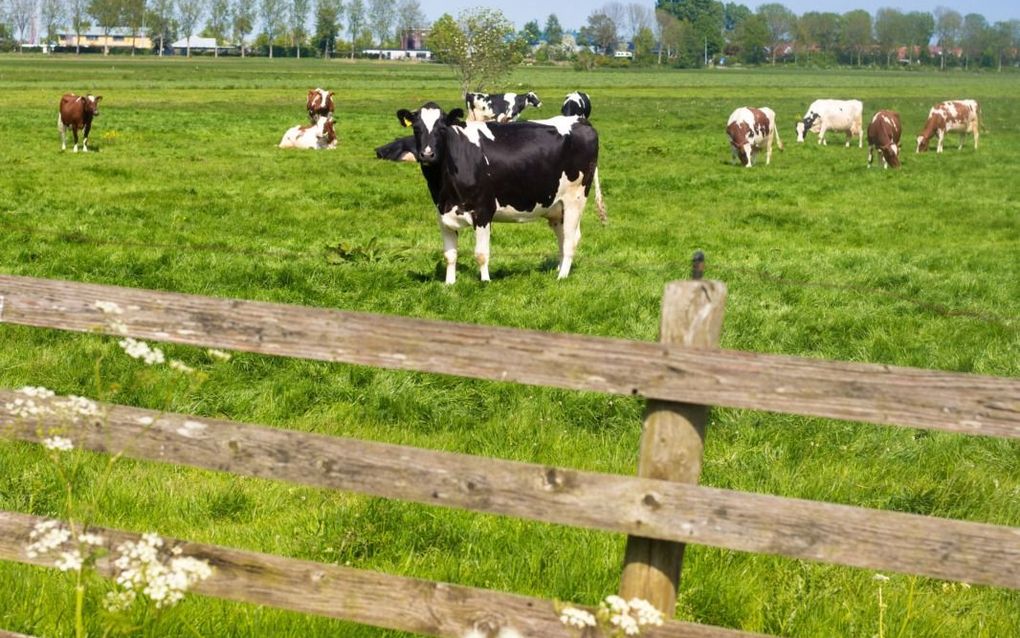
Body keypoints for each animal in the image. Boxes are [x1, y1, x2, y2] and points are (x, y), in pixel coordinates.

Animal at [395, 102, 603, 283]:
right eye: (416, 129)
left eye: (442, 129)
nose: (427, 155)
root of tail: (580, 120)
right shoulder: (443, 214)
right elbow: (450, 254)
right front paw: (449, 284)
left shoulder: (483, 210)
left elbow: (481, 254)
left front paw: (485, 282)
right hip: (556, 207)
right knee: (563, 237)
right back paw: (558, 269)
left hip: (575, 199)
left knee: (570, 240)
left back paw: (562, 277)